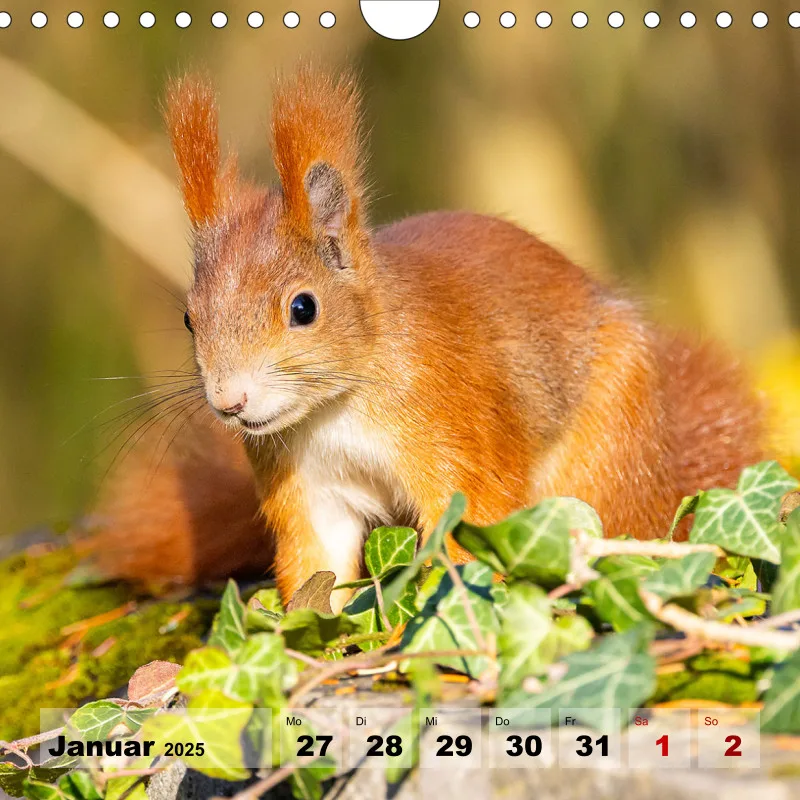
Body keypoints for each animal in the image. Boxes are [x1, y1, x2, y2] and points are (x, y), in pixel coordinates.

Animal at [89, 67, 765, 612]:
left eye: (303, 308)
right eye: (188, 319)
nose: (229, 402)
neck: (339, 405)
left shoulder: (456, 435)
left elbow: (471, 532)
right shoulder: (307, 484)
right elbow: (316, 564)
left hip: (604, 453)